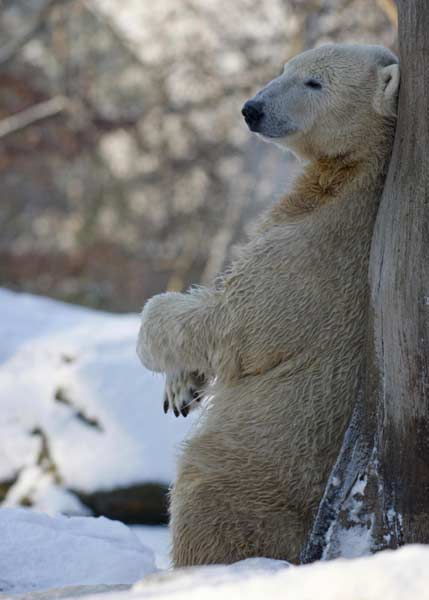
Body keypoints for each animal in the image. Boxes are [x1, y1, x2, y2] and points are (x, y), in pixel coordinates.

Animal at [136, 44, 398, 564]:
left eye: (314, 82)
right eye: (285, 69)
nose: (251, 109)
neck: (354, 174)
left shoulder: (313, 255)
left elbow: (231, 320)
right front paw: (181, 389)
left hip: (254, 465)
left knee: (202, 490)